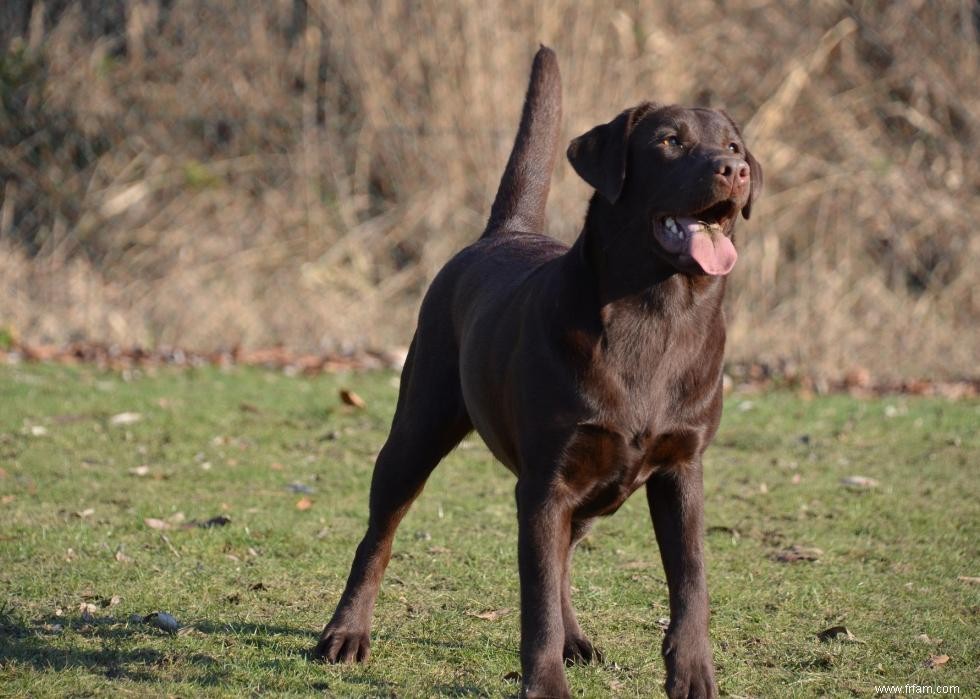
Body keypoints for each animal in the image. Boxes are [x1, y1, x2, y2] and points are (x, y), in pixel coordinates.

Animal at [318, 46, 760, 696]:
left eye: (732, 145)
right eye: (670, 141)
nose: (734, 171)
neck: (656, 313)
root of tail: (505, 231)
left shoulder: (682, 469)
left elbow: (691, 580)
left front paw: (693, 675)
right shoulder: (546, 482)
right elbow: (538, 600)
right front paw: (546, 685)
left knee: (564, 558)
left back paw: (576, 638)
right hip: (417, 431)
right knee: (379, 535)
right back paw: (346, 633)